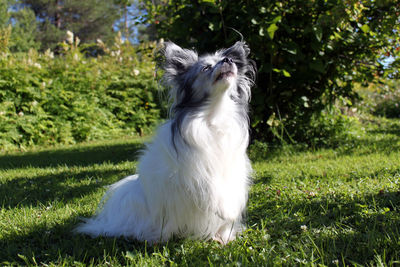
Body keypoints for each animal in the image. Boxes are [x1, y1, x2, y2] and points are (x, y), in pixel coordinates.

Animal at [75, 40, 256, 245]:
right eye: (206, 68)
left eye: (228, 59)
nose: (228, 60)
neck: (214, 113)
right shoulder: (191, 168)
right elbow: (208, 186)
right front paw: (222, 208)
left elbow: (228, 192)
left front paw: (228, 217)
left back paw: (221, 236)